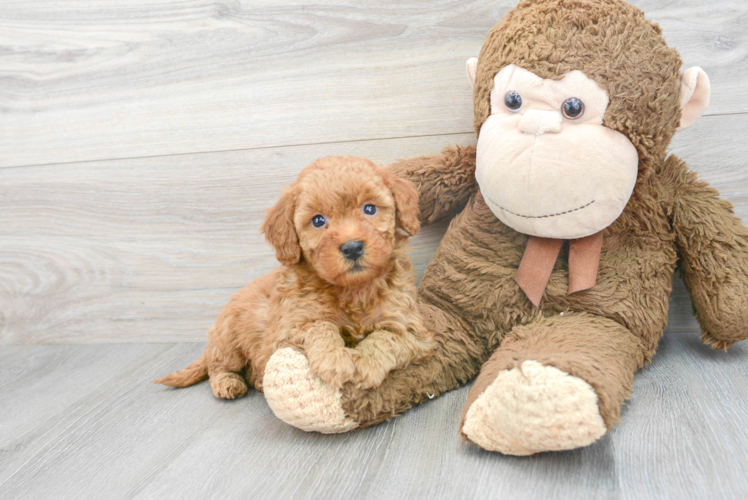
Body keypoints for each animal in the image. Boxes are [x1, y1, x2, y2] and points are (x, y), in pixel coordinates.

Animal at [155, 156, 432, 398]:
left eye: (370, 208)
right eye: (318, 221)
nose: (352, 247)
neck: (352, 290)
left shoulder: (412, 330)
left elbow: (386, 337)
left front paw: (364, 363)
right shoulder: (288, 328)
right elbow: (319, 326)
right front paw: (335, 360)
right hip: (228, 340)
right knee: (219, 366)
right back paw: (228, 383)